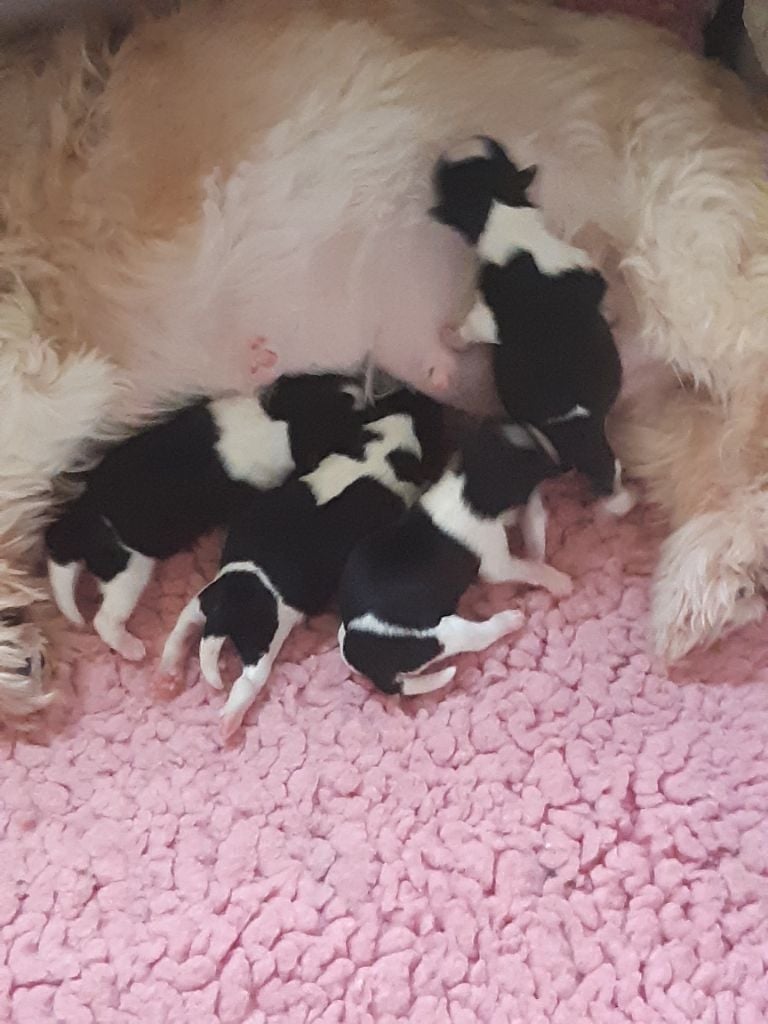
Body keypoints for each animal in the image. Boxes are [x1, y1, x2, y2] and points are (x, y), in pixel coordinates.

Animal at [46, 372, 364, 659]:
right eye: (351, 423)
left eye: (322, 379)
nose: (359, 385)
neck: (280, 426)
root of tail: (85, 515)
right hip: (128, 571)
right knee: (105, 618)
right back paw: (131, 648)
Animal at [159, 385, 442, 737]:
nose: (419, 395)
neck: (384, 447)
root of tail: (227, 607)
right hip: (262, 640)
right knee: (248, 680)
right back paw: (229, 721)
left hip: (203, 600)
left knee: (181, 628)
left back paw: (168, 675)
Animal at [339, 415, 573, 696]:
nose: (561, 462)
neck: (466, 485)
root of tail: (373, 669)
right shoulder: (496, 564)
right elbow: (528, 566)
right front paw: (557, 579)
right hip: (445, 633)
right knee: (479, 636)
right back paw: (509, 620)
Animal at [434, 138, 638, 561]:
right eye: (498, 152)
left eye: (448, 178)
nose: (463, 142)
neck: (507, 215)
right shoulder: (584, 269)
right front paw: (611, 315)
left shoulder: (487, 315)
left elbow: (468, 329)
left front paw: (449, 337)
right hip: (599, 456)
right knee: (611, 478)